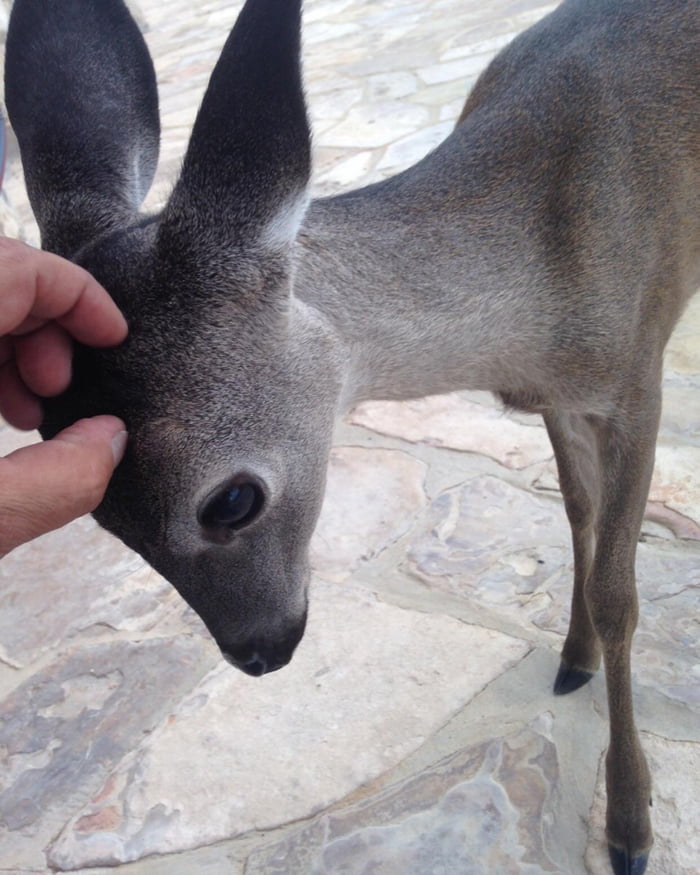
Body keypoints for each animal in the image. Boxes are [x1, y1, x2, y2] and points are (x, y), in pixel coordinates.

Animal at [2, 0, 696, 872]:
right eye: (102, 519)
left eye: (231, 501)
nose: (258, 650)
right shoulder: (561, 397)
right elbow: (578, 513)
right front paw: (574, 659)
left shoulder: (639, 370)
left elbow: (617, 590)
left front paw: (630, 823)